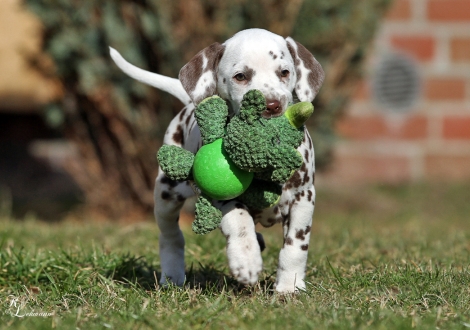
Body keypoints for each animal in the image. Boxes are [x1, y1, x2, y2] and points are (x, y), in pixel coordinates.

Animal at [110, 27, 324, 292]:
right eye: (240, 76)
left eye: (284, 72)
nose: (272, 105)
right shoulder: (220, 195)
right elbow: (239, 221)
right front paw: (246, 260)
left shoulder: (303, 197)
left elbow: (295, 246)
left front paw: (289, 287)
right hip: (166, 194)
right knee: (171, 236)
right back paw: (172, 276)